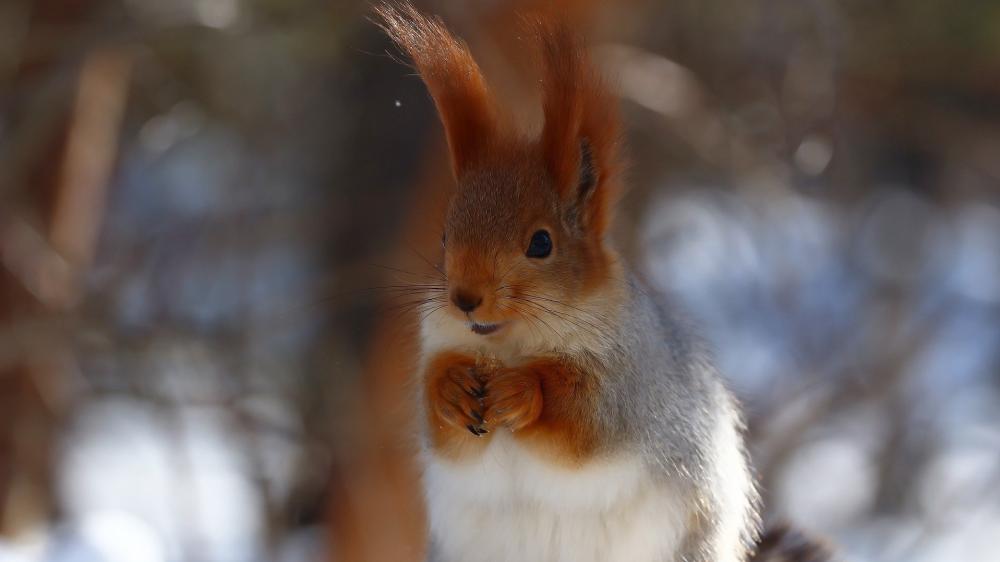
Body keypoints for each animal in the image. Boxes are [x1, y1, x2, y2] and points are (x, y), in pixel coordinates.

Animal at [376, 4, 831, 562]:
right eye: (444, 235)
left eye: (541, 243)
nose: (464, 299)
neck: (510, 345)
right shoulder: (439, 348)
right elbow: (442, 429)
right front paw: (452, 388)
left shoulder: (633, 383)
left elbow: (586, 422)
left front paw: (524, 390)